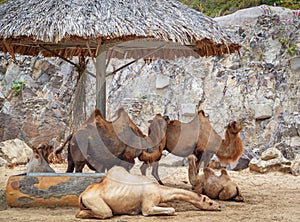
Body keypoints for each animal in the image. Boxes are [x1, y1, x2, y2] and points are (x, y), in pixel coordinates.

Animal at [75, 166, 220, 219]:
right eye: (210, 203)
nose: (219, 206)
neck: (159, 190)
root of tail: (83, 194)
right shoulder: (148, 205)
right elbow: (171, 209)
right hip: (95, 201)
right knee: (105, 213)